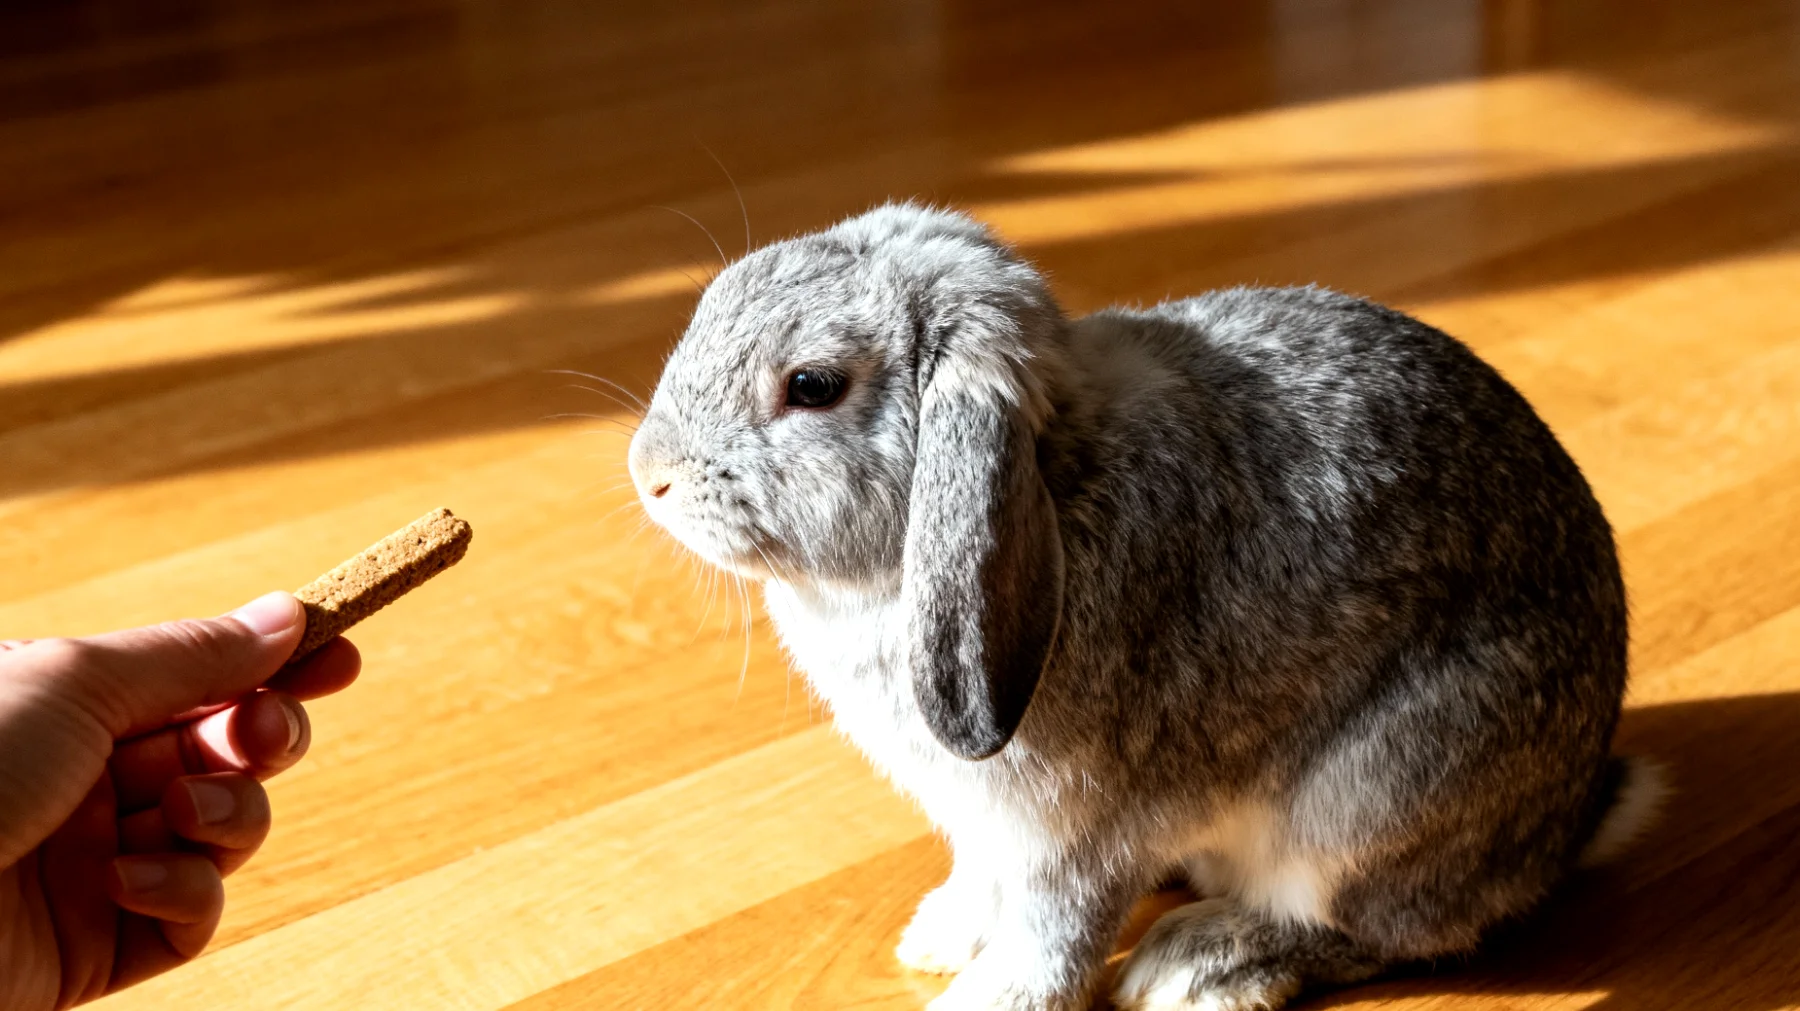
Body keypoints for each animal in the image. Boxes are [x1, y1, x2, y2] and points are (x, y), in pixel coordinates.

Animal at [625, 202, 1662, 1011]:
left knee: (1381, 932)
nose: (651, 475)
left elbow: (1056, 932)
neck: (1052, 480)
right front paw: (942, 935)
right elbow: (986, 879)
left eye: (812, 387)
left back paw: (1200, 964)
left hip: (1368, 801)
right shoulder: (984, 822)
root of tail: (1564, 827)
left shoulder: (1080, 831)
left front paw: (990, 995)